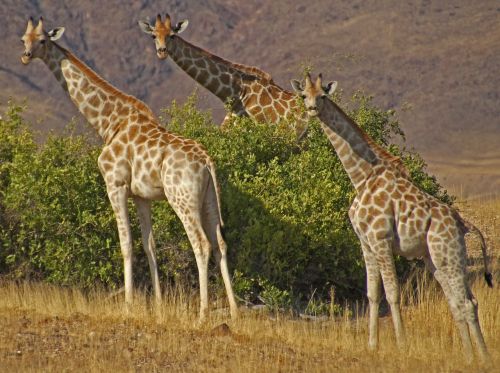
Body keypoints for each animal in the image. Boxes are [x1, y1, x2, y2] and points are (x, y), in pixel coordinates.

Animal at [19, 16, 238, 320]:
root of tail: (207, 161)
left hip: (182, 199)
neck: (109, 122)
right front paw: (157, 306)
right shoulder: (142, 196)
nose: (26, 56)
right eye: (23, 39)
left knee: (201, 244)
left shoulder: (116, 185)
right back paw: (235, 313)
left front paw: (128, 305)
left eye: (42, 40)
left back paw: (203, 314)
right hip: (209, 199)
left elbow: (126, 245)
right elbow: (150, 246)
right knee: (220, 244)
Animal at [292, 72, 494, 360]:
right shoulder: (365, 243)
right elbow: (372, 293)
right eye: (303, 95)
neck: (362, 176)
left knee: (465, 302)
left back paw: (483, 358)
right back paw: (470, 357)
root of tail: (462, 224)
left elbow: (393, 294)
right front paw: (372, 344)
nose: (311, 109)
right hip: (436, 259)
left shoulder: (381, 240)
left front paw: (402, 345)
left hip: (448, 254)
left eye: (322, 95)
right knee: (460, 301)